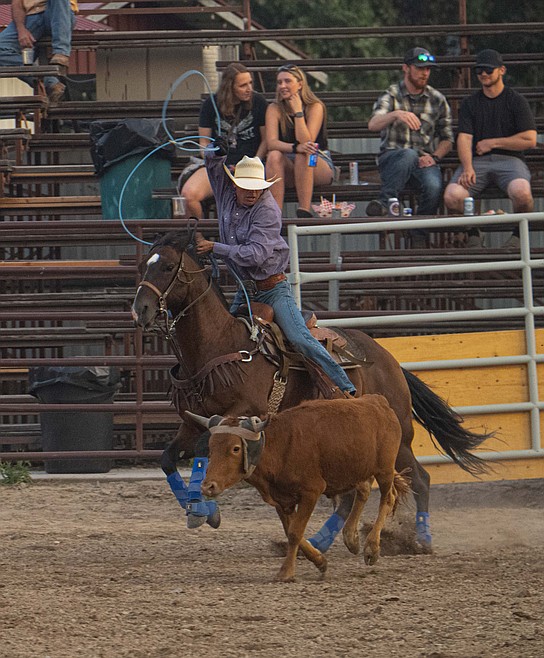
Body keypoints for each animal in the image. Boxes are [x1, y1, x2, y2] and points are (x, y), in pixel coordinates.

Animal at [133, 228, 492, 552]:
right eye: (142, 266)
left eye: (167, 266)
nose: (141, 310)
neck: (220, 345)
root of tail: (388, 359)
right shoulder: (192, 422)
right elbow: (168, 459)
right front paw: (199, 510)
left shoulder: (245, 413)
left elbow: (210, 448)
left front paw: (203, 508)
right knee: (354, 491)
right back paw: (322, 541)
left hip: (400, 436)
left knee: (420, 478)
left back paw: (422, 539)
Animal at [187, 392, 408, 580]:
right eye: (211, 447)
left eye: (235, 448)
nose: (208, 487)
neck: (280, 446)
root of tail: (378, 402)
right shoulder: (280, 499)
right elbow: (293, 532)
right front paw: (320, 561)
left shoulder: (311, 492)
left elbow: (295, 533)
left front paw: (286, 572)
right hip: (357, 470)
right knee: (363, 491)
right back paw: (351, 538)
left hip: (384, 469)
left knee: (387, 498)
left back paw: (372, 548)